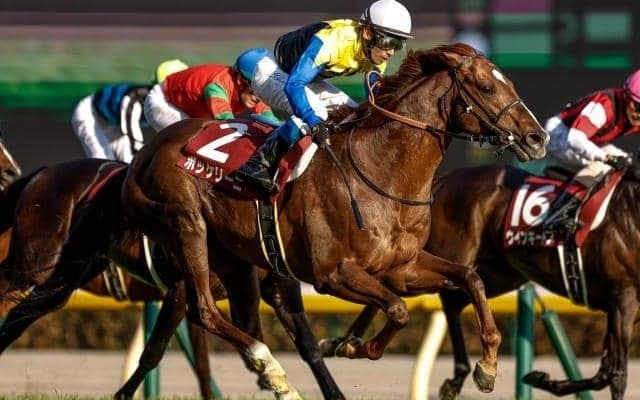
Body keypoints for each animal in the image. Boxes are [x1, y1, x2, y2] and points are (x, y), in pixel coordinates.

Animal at [0, 158, 345, 400]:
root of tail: (41, 173)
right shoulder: (182, 289)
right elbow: (155, 351)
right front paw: (122, 393)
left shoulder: (278, 285)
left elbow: (308, 346)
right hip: (33, 263)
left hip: (64, 275)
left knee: (19, 317)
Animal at [118, 43, 548, 399]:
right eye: (486, 88)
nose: (537, 138)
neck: (381, 170)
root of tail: (145, 154)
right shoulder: (333, 273)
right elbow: (398, 310)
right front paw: (352, 345)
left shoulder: (401, 267)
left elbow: (469, 278)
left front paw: (487, 366)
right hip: (187, 224)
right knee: (204, 309)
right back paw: (268, 363)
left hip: (233, 257)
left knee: (222, 313)